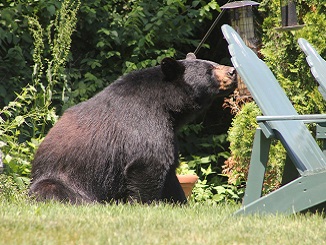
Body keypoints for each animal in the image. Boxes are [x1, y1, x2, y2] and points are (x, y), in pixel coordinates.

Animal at [29, 53, 237, 205]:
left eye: (213, 63)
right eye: (210, 70)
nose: (233, 71)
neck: (167, 105)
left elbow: (170, 174)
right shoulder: (144, 123)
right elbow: (148, 163)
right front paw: (146, 205)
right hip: (59, 179)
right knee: (52, 191)